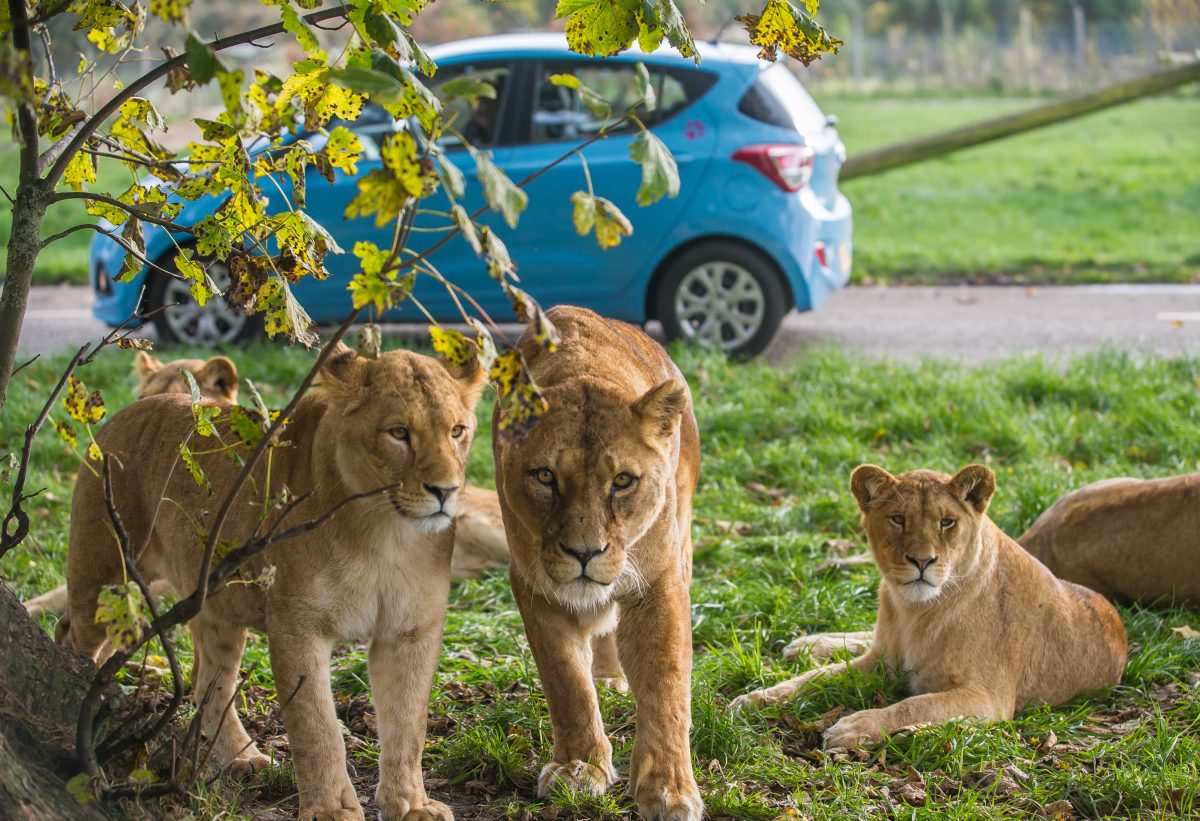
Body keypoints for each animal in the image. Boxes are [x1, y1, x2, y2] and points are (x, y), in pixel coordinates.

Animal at [58, 344, 484, 820]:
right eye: (398, 433)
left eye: (457, 431)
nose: (446, 491)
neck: (386, 533)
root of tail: (124, 412)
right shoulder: (297, 627)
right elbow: (316, 726)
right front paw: (330, 809)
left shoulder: (410, 631)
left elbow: (408, 725)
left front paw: (410, 804)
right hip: (104, 575)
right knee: (73, 635)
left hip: (215, 604)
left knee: (207, 680)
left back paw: (242, 757)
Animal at [493, 306, 703, 820]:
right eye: (545, 476)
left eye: (623, 481)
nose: (584, 554)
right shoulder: (535, 584)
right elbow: (566, 681)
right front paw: (579, 767)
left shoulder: (658, 580)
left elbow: (666, 684)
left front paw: (668, 789)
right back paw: (606, 680)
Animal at [734, 464, 1128, 749]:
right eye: (898, 519)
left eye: (946, 522)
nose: (922, 561)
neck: (915, 611)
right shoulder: (881, 663)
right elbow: (814, 679)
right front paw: (756, 698)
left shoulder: (989, 699)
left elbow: (914, 705)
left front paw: (855, 726)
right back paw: (806, 645)